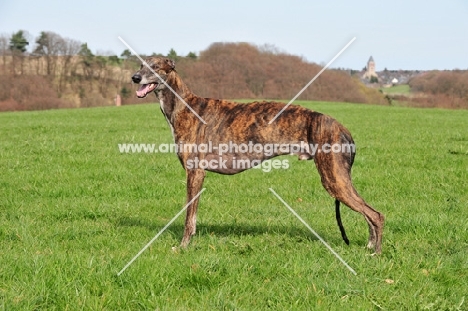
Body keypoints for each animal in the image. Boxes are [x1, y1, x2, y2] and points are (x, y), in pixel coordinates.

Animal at [131, 57, 384, 255]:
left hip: (333, 178)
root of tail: (342, 128)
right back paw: (370, 247)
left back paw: (376, 253)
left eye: (155, 66)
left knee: (376, 215)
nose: (134, 77)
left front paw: (183, 247)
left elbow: (188, 218)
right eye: (141, 64)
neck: (183, 105)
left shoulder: (195, 172)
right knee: (369, 214)